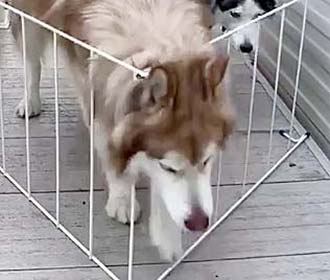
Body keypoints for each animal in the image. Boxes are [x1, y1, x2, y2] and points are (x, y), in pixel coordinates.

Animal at [8, 0, 235, 260]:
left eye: (207, 160)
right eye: (168, 167)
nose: (199, 223)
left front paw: (167, 234)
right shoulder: (97, 97)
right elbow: (114, 155)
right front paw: (123, 199)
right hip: (28, 17)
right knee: (30, 58)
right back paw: (30, 101)